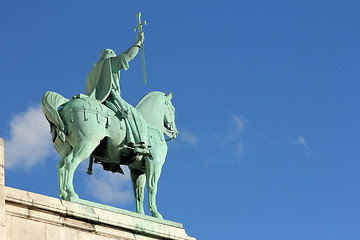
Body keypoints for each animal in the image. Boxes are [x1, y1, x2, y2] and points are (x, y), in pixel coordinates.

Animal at [41, 89, 178, 218]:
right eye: (173, 109)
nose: (175, 132)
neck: (151, 126)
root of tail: (65, 105)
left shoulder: (137, 169)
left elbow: (138, 193)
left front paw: (141, 214)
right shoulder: (154, 163)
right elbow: (152, 186)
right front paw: (155, 213)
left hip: (66, 149)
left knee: (61, 165)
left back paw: (63, 194)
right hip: (87, 144)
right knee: (71, 162)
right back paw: (71, 193)